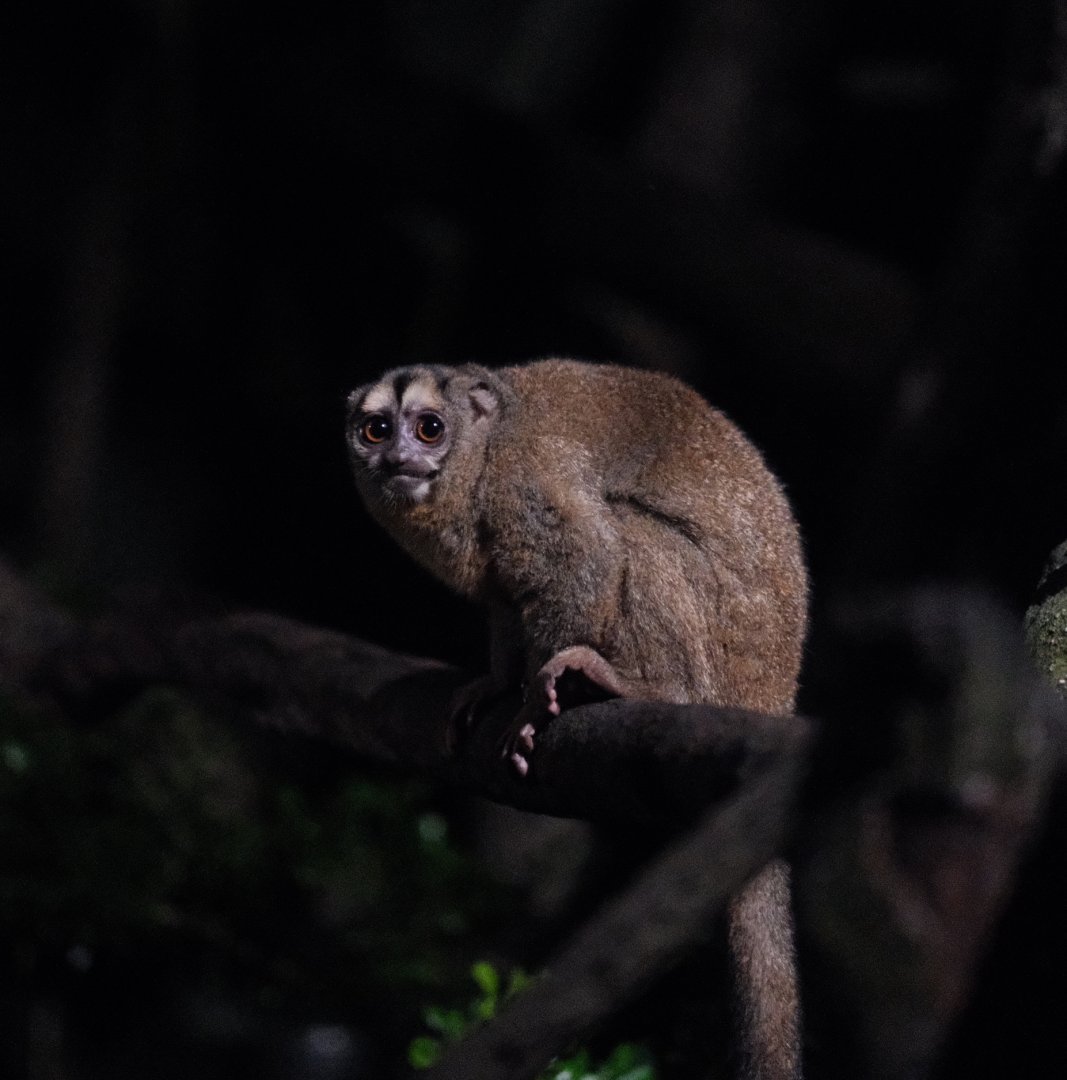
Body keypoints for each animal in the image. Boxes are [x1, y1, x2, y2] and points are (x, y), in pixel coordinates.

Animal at [345, 359, 808, 1080]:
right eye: (375, 430)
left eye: (429, 428)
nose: (396, 459)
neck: (479, 459)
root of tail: (772, 696)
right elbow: (504, 599)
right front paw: (496, 683)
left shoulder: (524, 481)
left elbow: (586, 560)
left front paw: (533, 703)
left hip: (719, 663)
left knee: (626, 534)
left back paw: (634, 682)